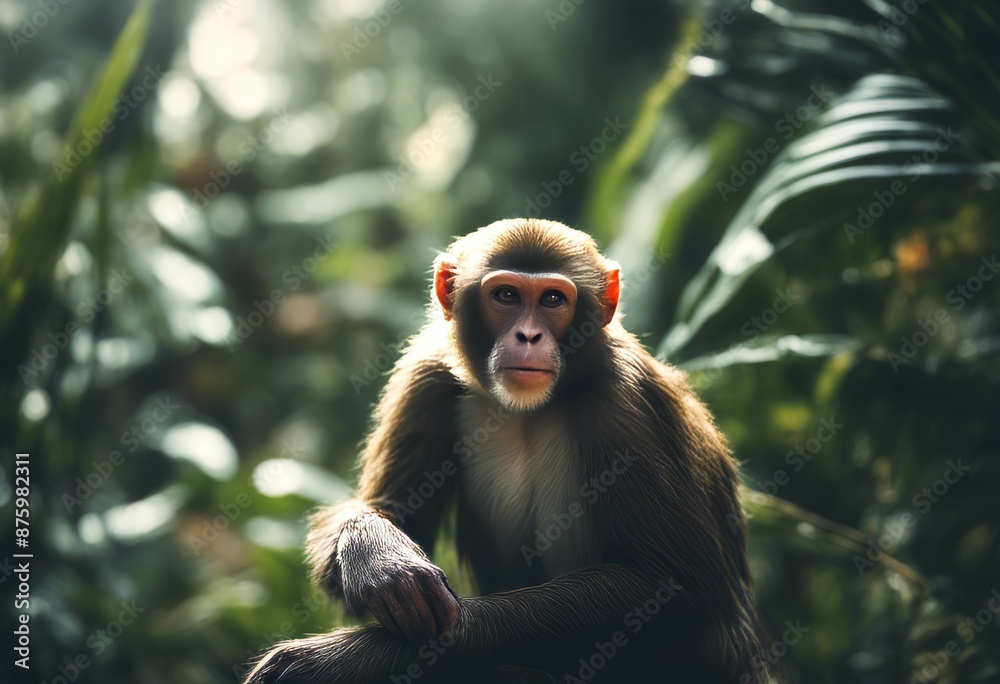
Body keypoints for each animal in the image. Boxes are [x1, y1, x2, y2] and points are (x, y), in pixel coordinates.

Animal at [245, 219, 771, 683]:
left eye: (553, 299)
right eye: (506, 296)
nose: (529, 336)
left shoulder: (625, 401)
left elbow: (676, 590)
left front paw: (342, 660)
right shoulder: (427, 373)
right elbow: (389, 510)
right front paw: (377, 555)